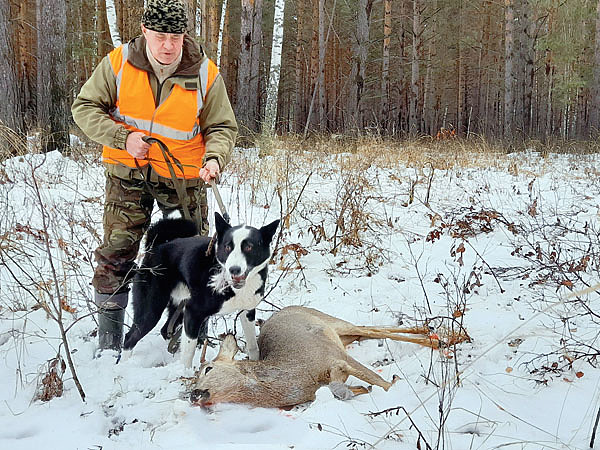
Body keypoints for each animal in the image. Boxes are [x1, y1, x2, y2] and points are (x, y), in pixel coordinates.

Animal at [123, 213, 282, 368]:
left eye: (249, 247)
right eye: (227, 247)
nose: (234, 269)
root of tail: (157, 246)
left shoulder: (247, 311)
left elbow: (253, 345)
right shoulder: (193, 312)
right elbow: (188, 353)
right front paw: (184, 373)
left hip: (179, 307)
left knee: (165, 330)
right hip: (152, 310)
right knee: (130, 338)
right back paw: (125, 365)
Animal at [190, 306, 466, 408]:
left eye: (207, 368)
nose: (193, 394)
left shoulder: (334, 355)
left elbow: (383, 384)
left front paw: (396, 384)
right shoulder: (334, 369)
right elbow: (352, 386)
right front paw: (360, 390)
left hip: (332, 324)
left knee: (372, 329)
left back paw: (442, 337)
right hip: (344, 336)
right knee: (368, 330)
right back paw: (436, 333)